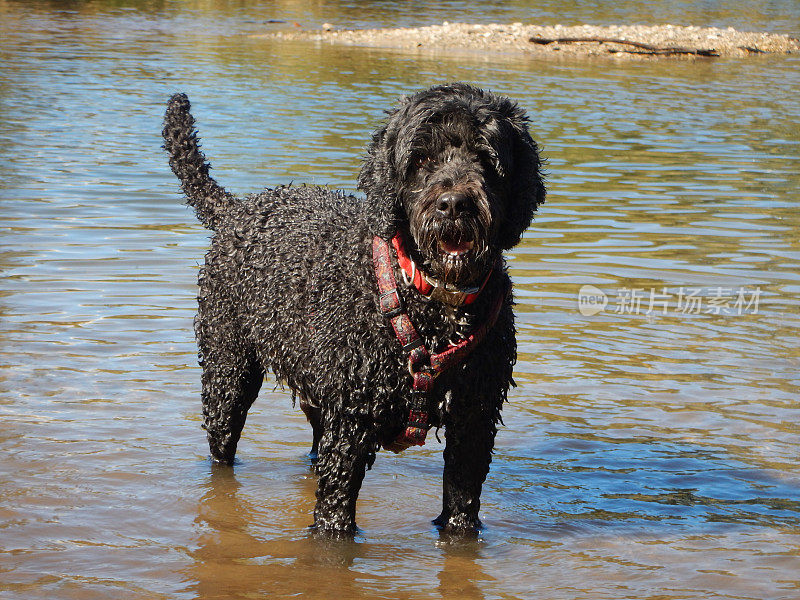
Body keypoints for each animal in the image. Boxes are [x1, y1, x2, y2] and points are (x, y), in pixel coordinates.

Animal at [164, 83, 544, 536]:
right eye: (421, 160)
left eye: (486, 157)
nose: (454, 205)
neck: (432, 305)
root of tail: (235, 209)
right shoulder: (351, 423)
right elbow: (334, 516)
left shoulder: (473, 421)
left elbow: (461, 509)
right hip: (229, 373)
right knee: (222, 445)